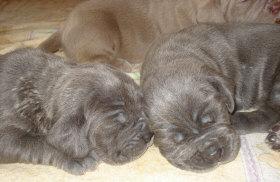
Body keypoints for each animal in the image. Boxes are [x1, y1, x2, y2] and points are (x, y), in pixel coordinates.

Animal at [0, 48, 153, 175]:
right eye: (120, 123)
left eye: (143, 111)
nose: (150, 135)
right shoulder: (7, 136)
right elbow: (39, 143)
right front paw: (80, 159)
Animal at [38, 0, 280, 72]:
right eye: (242, 1)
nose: (275, 6)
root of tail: (63, 27)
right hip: (97, 27)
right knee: (91, 59)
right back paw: (128, 66)